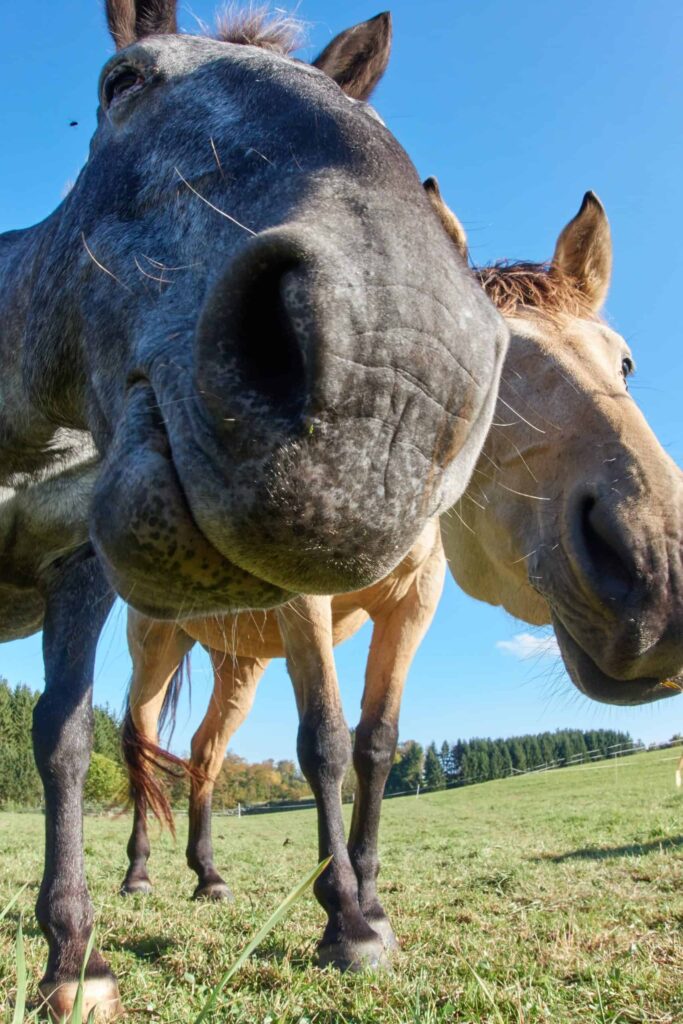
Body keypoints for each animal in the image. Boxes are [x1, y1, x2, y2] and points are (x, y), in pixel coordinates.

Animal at [121, 185, 683, 981]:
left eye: (625, 363)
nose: (657, 572)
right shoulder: (307, 604)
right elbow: (324, 742)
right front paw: (346, 922)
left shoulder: (412, 607)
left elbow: (377, 744)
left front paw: (373, 905)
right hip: (156, 644)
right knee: (137, 745)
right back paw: (137, 875)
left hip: (240, 663)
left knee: (202, 758)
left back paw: (208, 877)